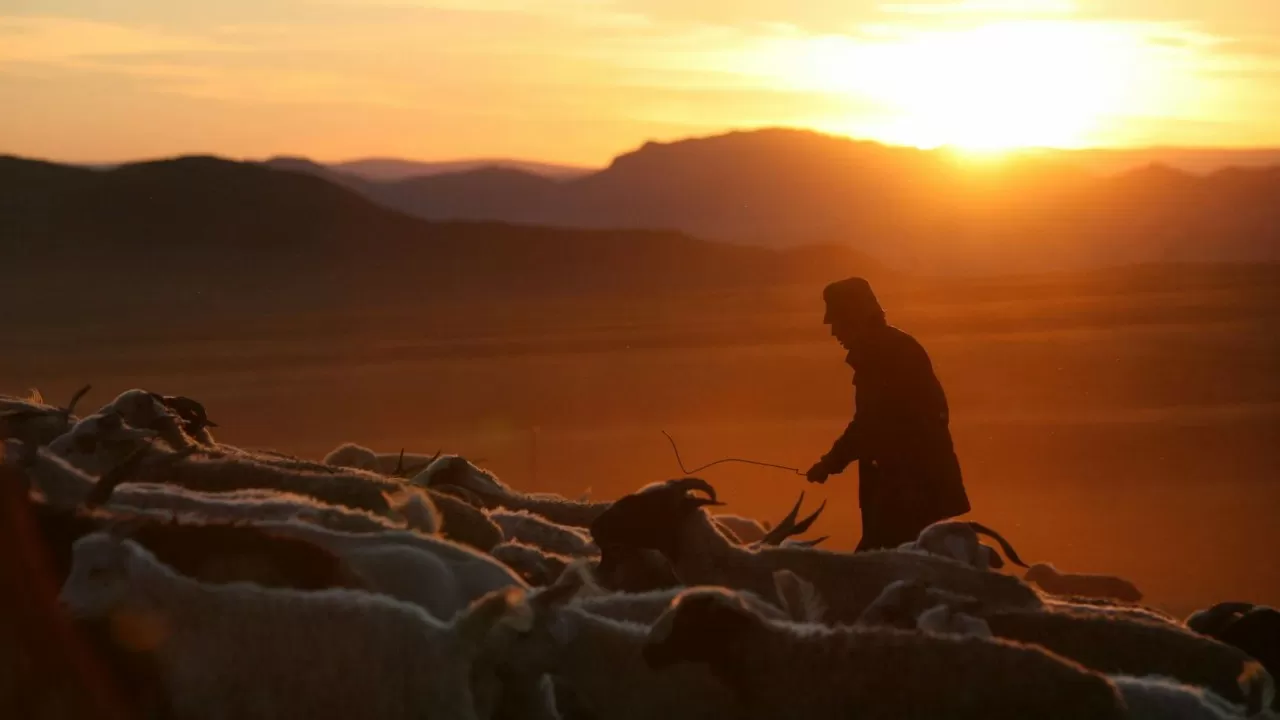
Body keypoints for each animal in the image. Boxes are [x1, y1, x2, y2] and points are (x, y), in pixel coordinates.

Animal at [58, 527, 529, 717]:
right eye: (75, 562)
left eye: (99, 570)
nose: (64, 606)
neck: (185, 615)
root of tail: (450, 635)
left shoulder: (216, 707)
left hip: (438, 708)